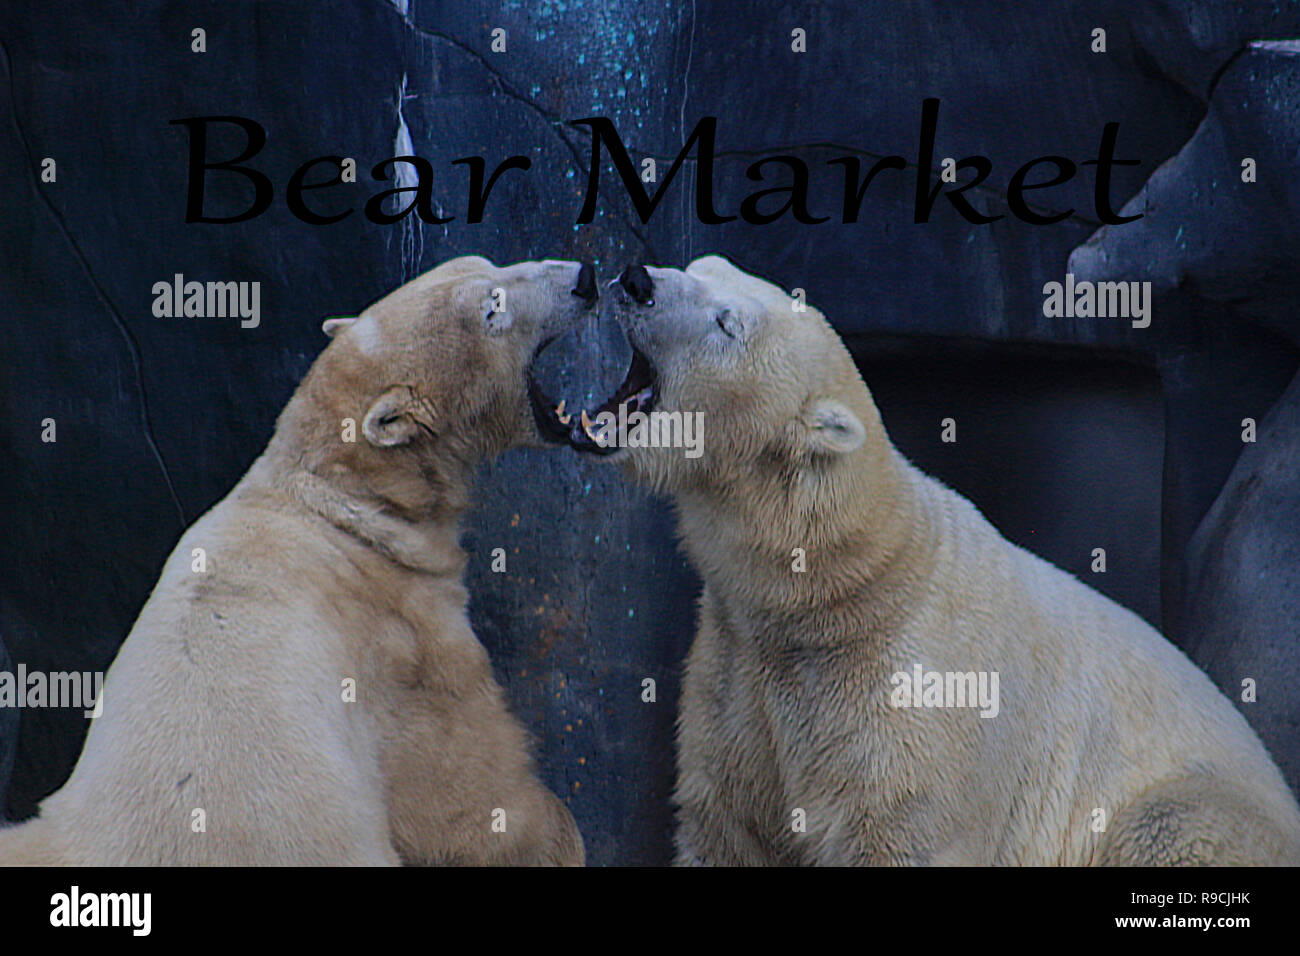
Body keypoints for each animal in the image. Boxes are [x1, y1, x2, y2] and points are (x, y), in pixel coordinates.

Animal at [0, 255, 597, 866]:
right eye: (491, 307)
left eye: (486, 263)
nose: (584, 277)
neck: (340, 498)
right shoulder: (403, 638)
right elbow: (470, 794)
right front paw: (557, 835)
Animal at [545, 254, 1300, 865]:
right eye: (697, 262)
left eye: (727, 322)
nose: (636, 280)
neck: (843, 581)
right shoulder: (739, 677)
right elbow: (730, 826)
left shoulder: (909, 700)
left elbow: (897, 830)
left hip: (1193, 805)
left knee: (1170, 824)